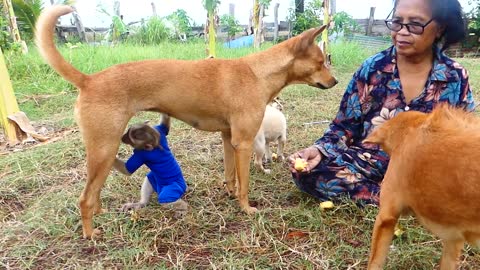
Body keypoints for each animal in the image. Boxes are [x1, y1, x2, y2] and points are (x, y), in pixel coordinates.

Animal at [34, 4, 338, 238]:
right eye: (321, 62)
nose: (335, 81)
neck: (256, 72)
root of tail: (89, 80)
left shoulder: (229, 139)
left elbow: (230, 176)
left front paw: (229, 194)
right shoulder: (244, 143)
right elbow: (245, 184)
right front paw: (246, 208)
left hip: (103, 153)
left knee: (94, 194)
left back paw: (102, 213)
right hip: (104, 149)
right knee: (85, 198)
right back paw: (91, 233)